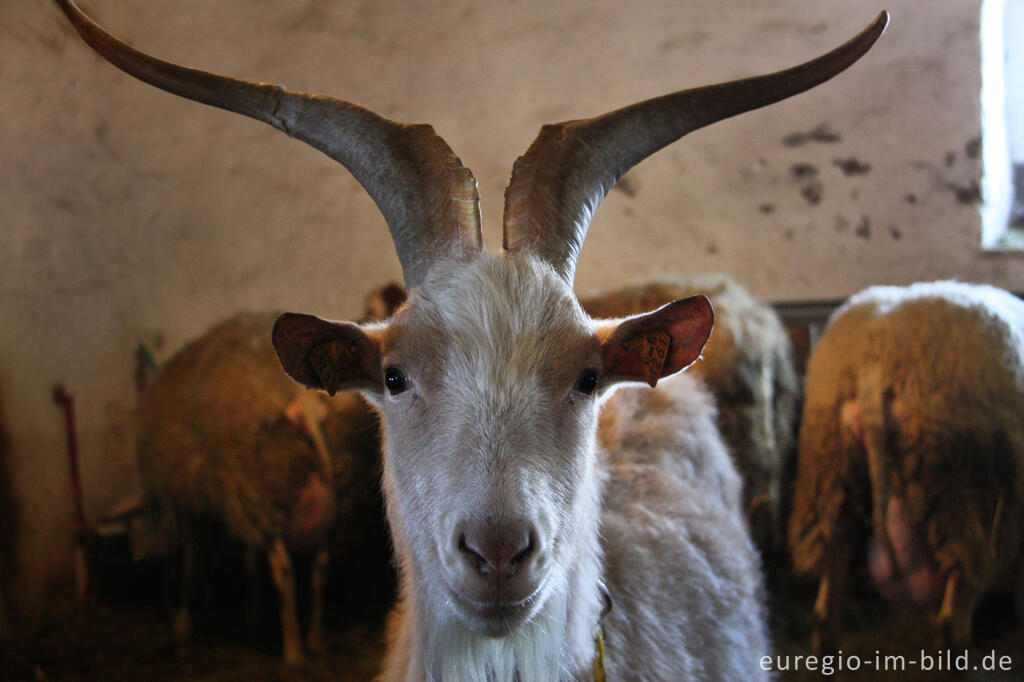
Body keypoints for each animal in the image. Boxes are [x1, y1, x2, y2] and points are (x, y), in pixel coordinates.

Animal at [133, 282, 395, 663]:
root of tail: (304, 403)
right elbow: (246, 558)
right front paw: (253, 612)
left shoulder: (189, 502)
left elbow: (192, 563)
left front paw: (183, 620)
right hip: (319, 496)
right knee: (320, 568)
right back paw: (315, 639)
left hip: (265, 492)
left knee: (283, 574)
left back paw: (293, 651)